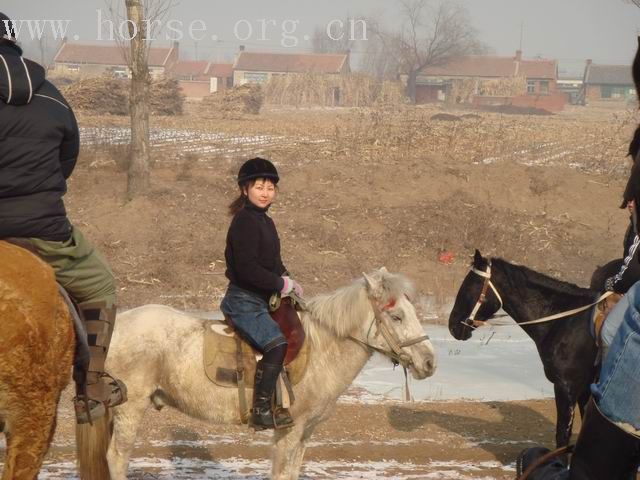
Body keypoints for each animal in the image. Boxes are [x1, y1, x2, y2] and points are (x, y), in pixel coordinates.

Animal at [77, 268, 436, 480]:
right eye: (398, 316)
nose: (430, 362)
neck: (322, 348)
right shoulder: (289, 431)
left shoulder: (304, 434)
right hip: (130, 408)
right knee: (116, 458)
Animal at [450, 251, 620, 450]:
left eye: (471, 286)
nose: (452, 326)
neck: (566, 320)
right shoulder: (585, 389)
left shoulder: (566, 387)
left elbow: (562, 435)